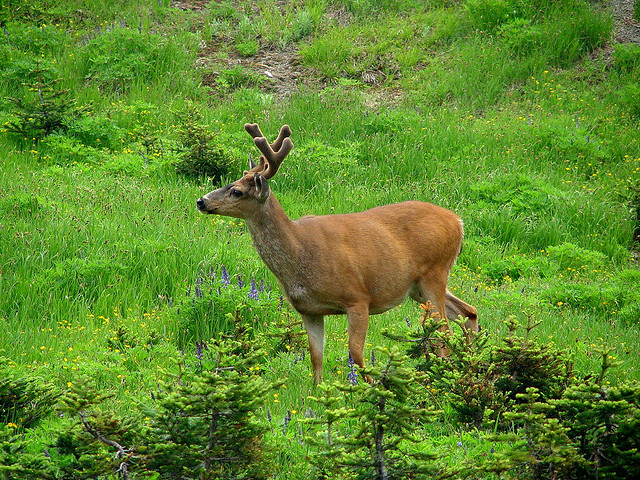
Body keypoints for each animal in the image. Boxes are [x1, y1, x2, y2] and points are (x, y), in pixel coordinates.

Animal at [198, 124, 478, 386]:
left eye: (237, 191)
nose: (201, 201)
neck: (300, 254)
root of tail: (458, 222)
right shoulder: (309, 310)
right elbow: (316, 358)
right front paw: (317, 394)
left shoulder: (357, 297)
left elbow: (356, 353)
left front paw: (373, 388)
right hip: (416, 288)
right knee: (468, 312)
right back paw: (470, 363)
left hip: (435, 271)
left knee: (445, 332)